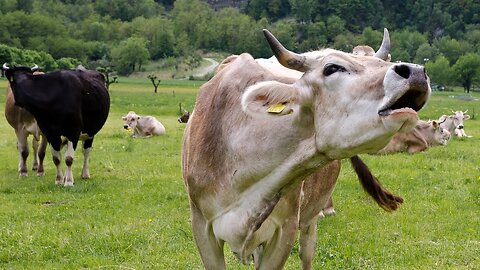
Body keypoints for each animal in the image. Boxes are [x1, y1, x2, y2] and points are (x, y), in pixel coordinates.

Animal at [182, 28, 430, 268]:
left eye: (380, 61)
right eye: (332, 67)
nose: (415, 71)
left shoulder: (286, 228)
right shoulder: (201, 226)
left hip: (310, 220)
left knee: (306, 254)